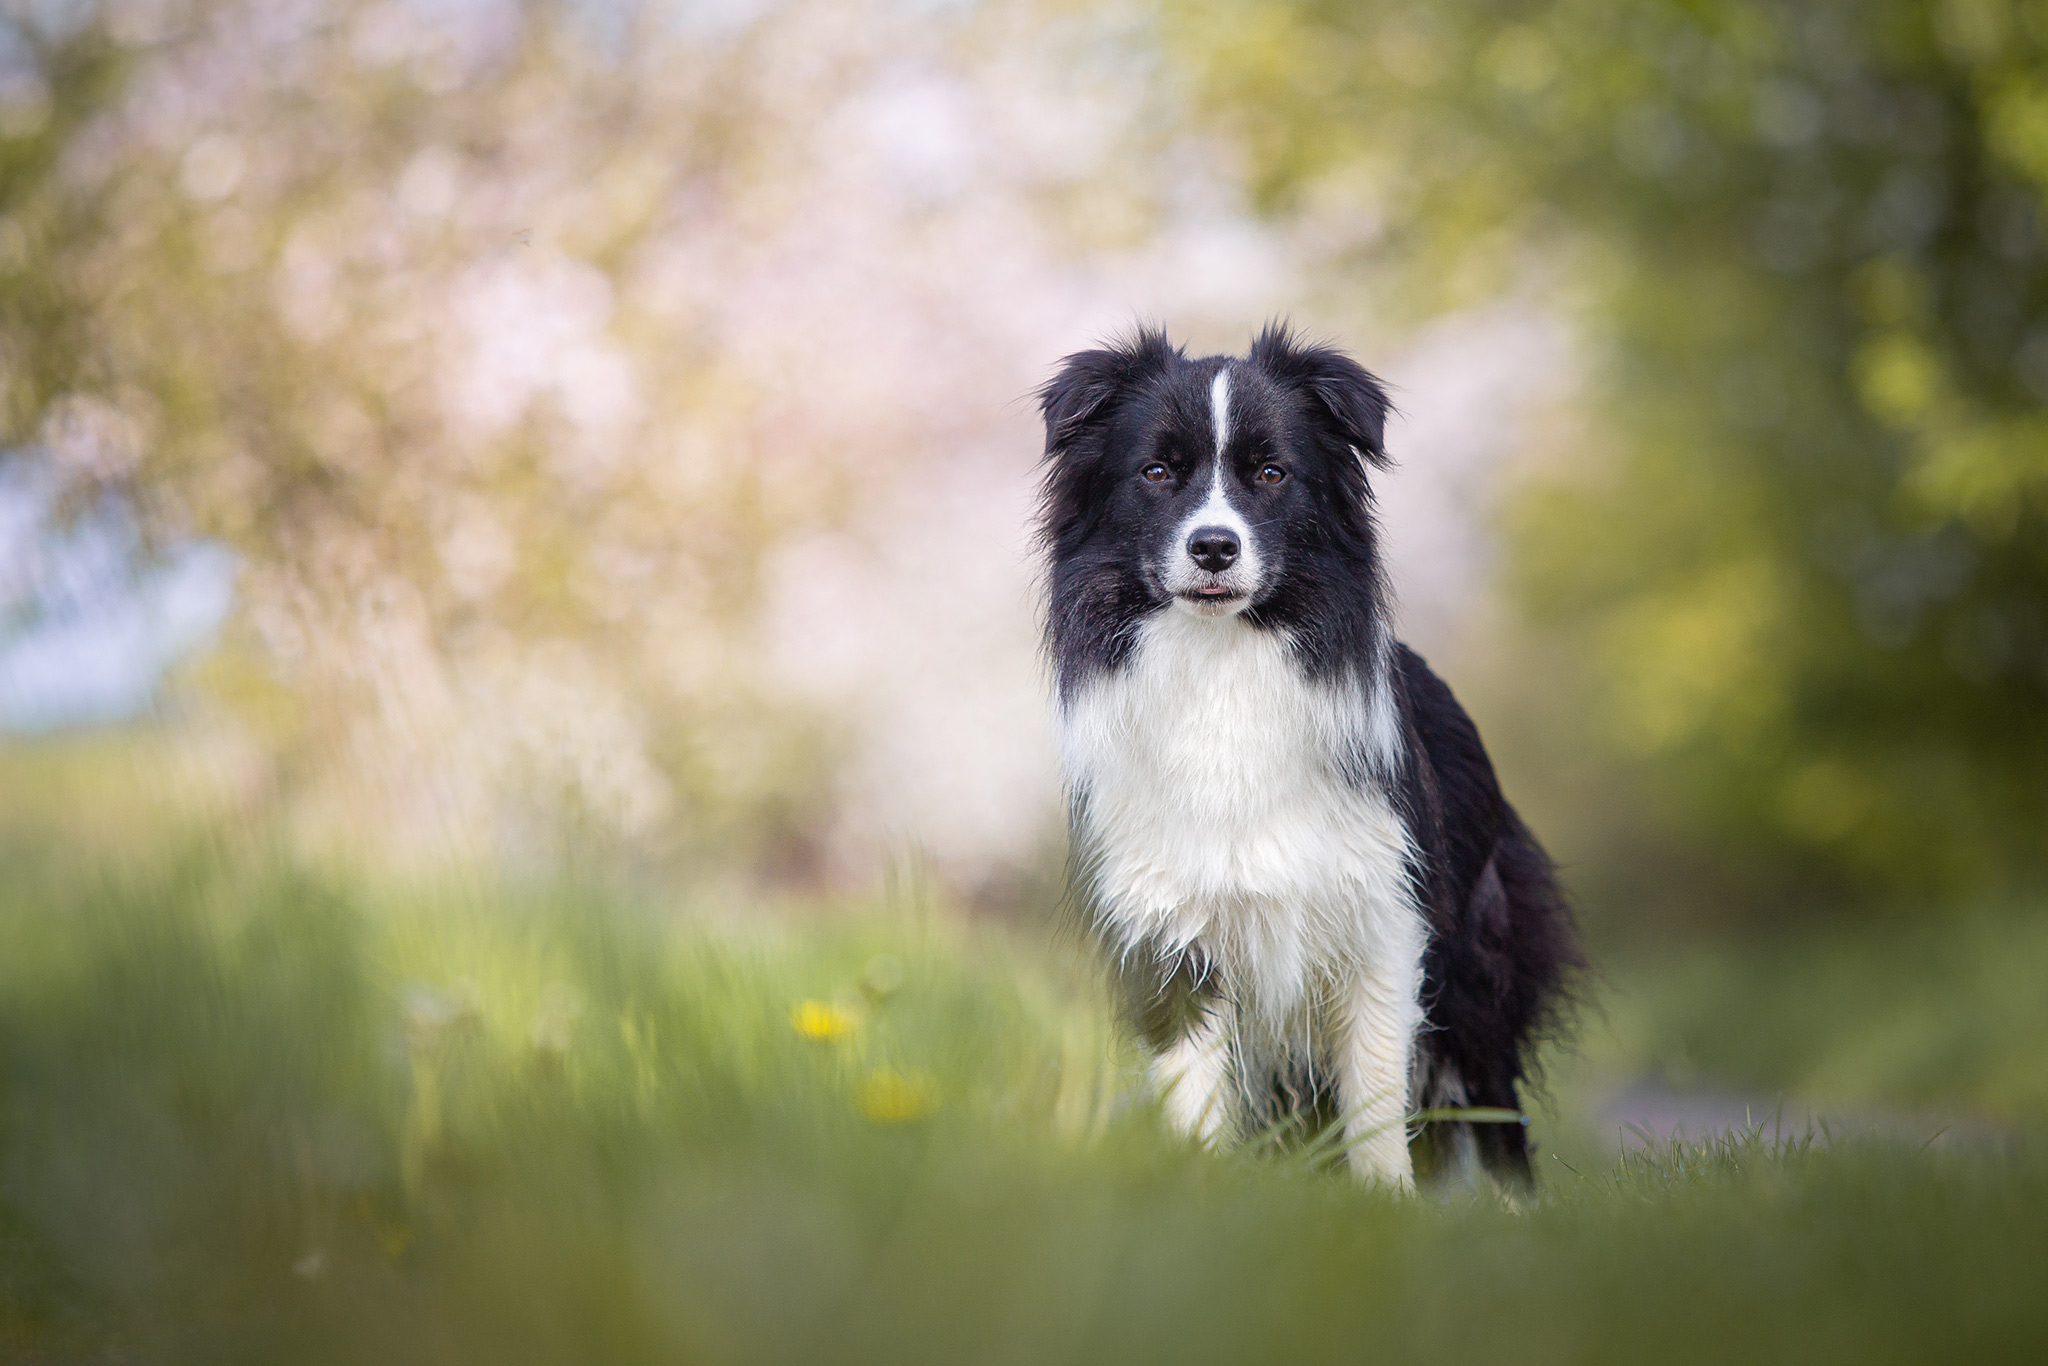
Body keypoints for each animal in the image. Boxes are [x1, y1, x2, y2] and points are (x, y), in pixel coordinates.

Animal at [1040, 325, 1581, 1187]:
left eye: (1272, 473)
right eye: (1156, 473)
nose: (1214, 547)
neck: (1224, 663)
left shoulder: (1384, 917)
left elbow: (1376, 1095)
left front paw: (1386, 1201)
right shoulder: (1170, 930)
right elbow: (1194, 1091)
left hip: (1479, 962)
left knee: (1491, 1105)